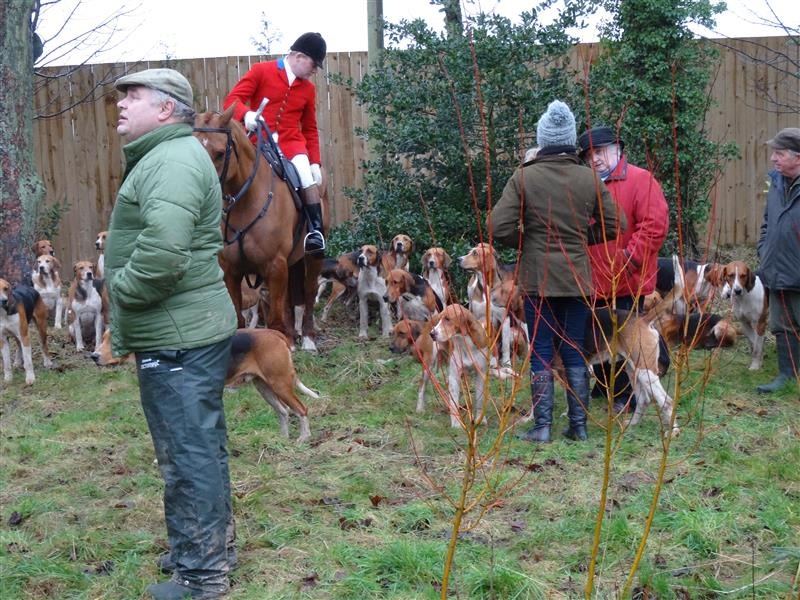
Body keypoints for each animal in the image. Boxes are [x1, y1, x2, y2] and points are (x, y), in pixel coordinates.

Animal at [92, 328, 318, 442]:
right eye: (101, 338)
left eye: (113, 341)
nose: (93, 356)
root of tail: (275, 333)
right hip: (264, 387)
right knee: (284, 411)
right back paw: (283, 439)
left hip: (280, 384)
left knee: (302, 409)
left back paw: (303, 439)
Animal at [193, 104, 329, 351]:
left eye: (220, 153)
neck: (246, 202)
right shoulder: (231, 271)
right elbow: (239, 319)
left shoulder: (275, 266)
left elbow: (274, 320)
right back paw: (292, 335)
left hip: (312, 257)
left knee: (309, 290)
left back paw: (307, 337)